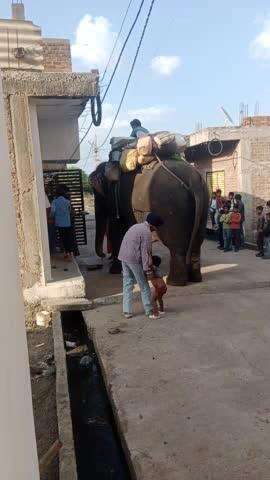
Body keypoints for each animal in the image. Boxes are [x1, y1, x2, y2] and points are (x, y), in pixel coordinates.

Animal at [88, 158, 209, 286]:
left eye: (97, 193)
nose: (103, 255)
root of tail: (194, 180)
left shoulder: (116, 200)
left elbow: (116, 231)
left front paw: (114, 271)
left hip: (172, 207)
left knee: (176, 247)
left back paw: (173, 282)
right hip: (204, 204)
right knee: (196, 244)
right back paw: (195, 279)